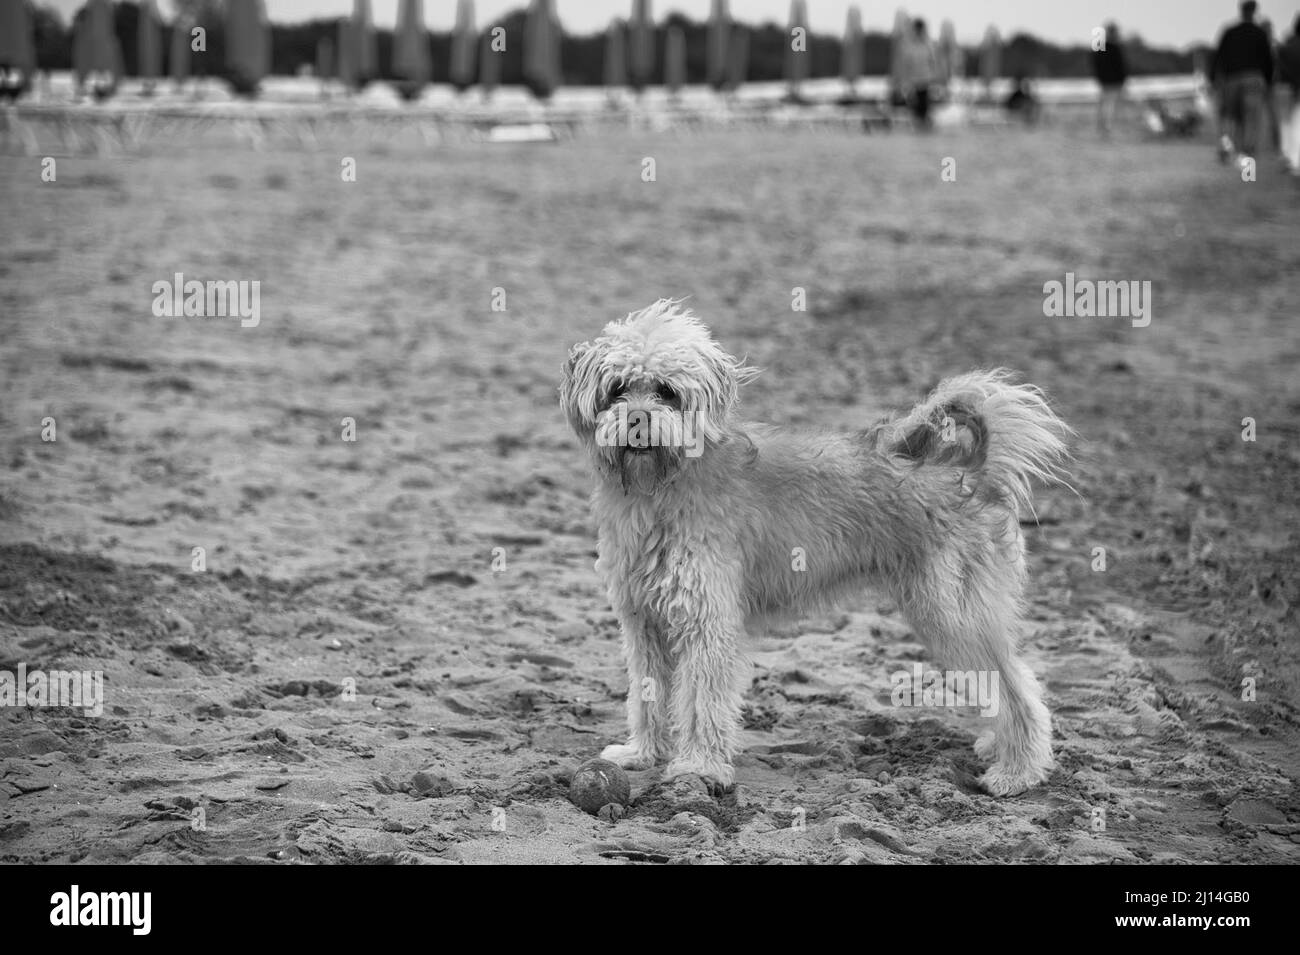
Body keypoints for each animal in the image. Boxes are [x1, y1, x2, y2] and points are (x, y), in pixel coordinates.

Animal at [564, 302, 1071, 795]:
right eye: (617, 389)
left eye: (667, 392)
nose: (637, 419)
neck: (662, 485)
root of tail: (968, 469)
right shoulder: (644, 623)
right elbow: (647, 696)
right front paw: (644, 754)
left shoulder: (708, 623)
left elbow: (702, 703)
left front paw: (700, 769)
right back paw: (1000, 749)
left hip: (953, 615)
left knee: (1018, 689)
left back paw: (1018, 772)